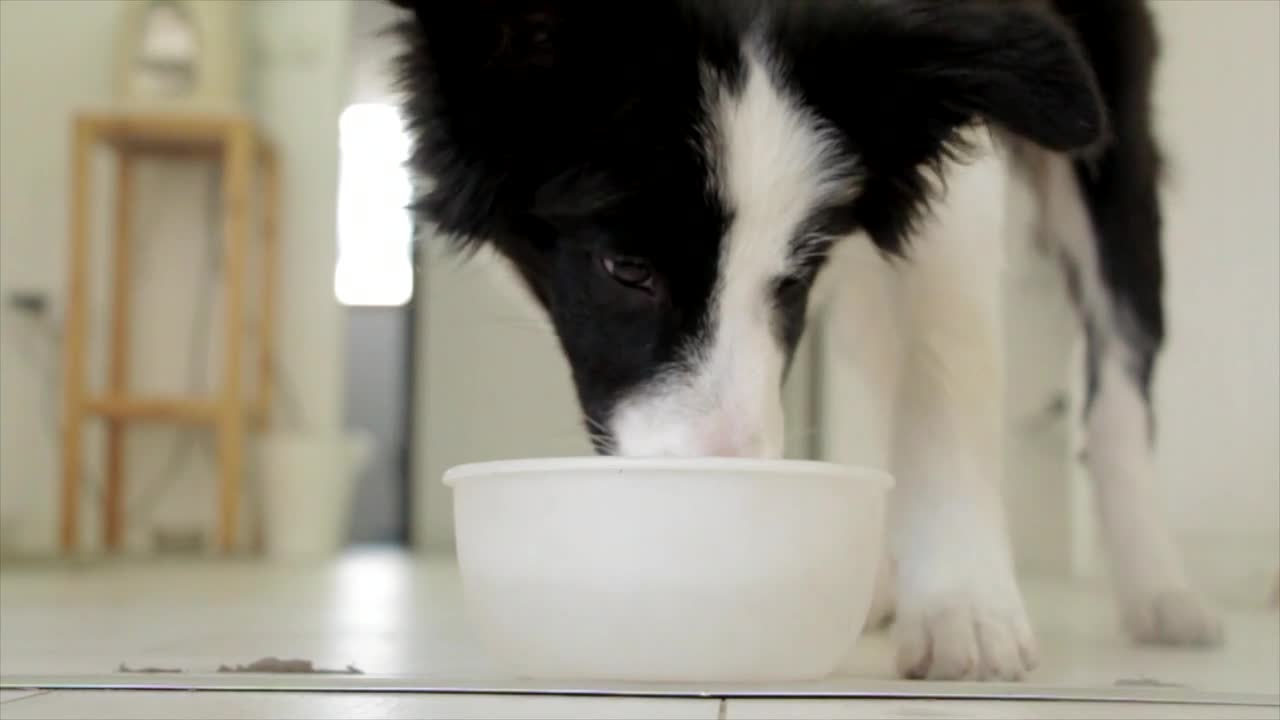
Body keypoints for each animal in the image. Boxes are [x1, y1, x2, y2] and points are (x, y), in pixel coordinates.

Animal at [386, 0, 1218, 676]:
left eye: (795, 275)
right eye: (627, 268)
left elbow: (947, 358)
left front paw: (966, 606)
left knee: (1118, 375)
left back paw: (1163, 591)